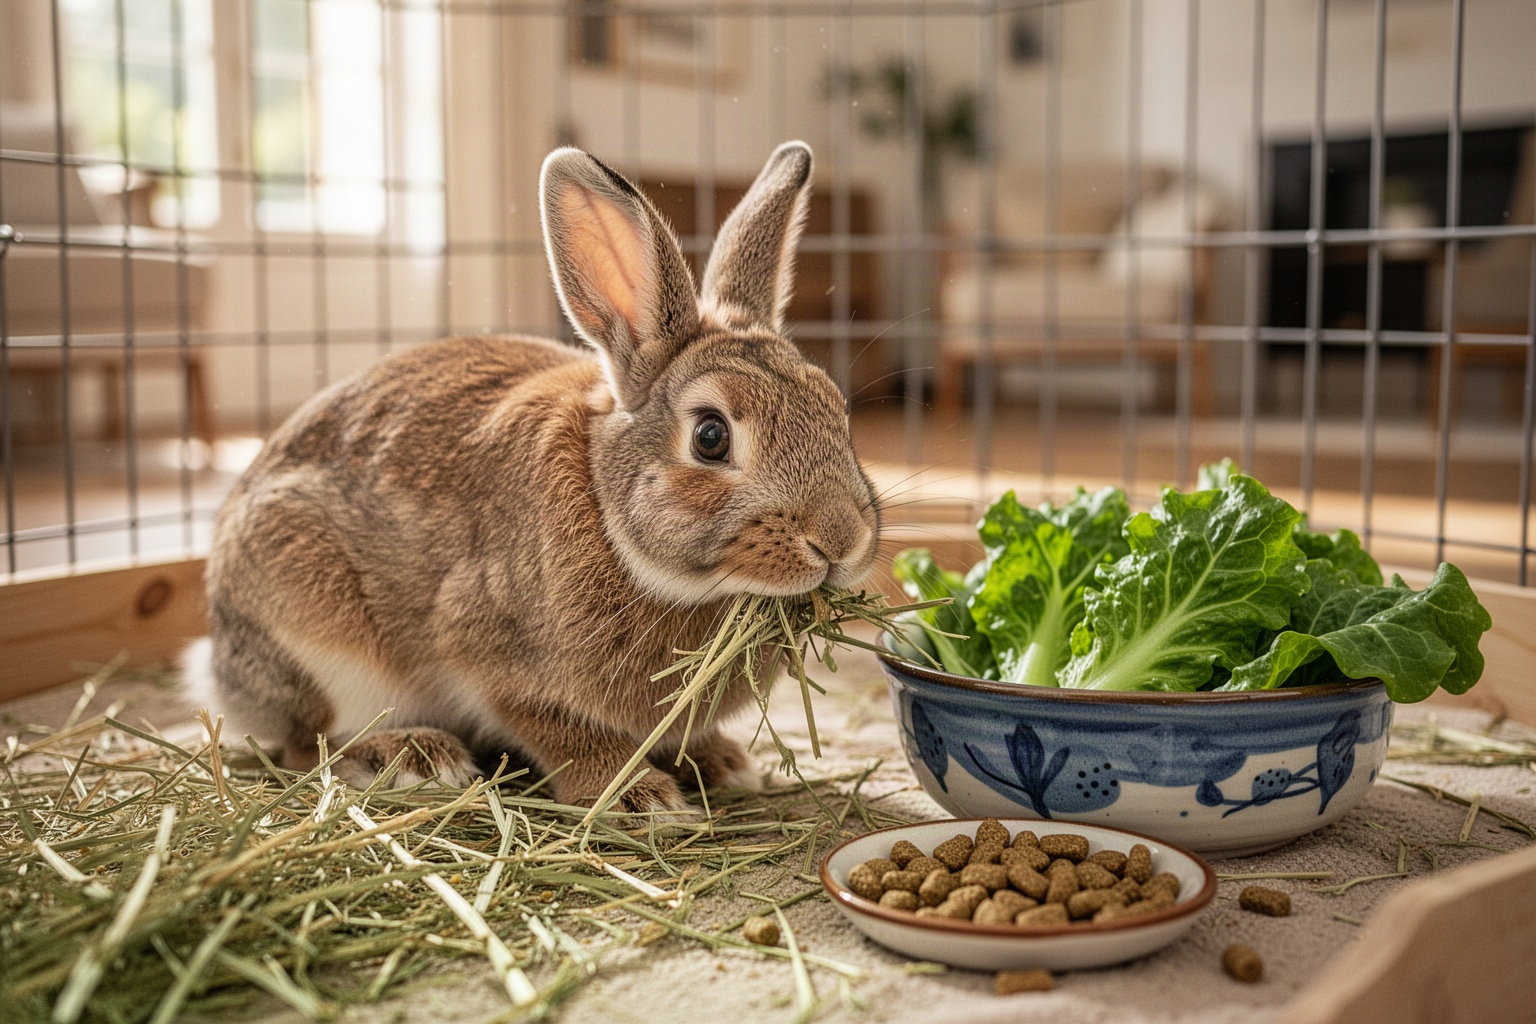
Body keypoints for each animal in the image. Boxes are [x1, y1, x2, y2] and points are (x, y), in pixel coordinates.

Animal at [183, 141, 881, 811]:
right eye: (711, 437)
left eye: (835, 408)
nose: (841, 540)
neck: (608, 509)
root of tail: (220, 666)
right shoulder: (490, 657)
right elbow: (561, 734)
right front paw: (637, 797)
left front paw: (721, 762)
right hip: (317, 636)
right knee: (307, 744)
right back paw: (411, 756)